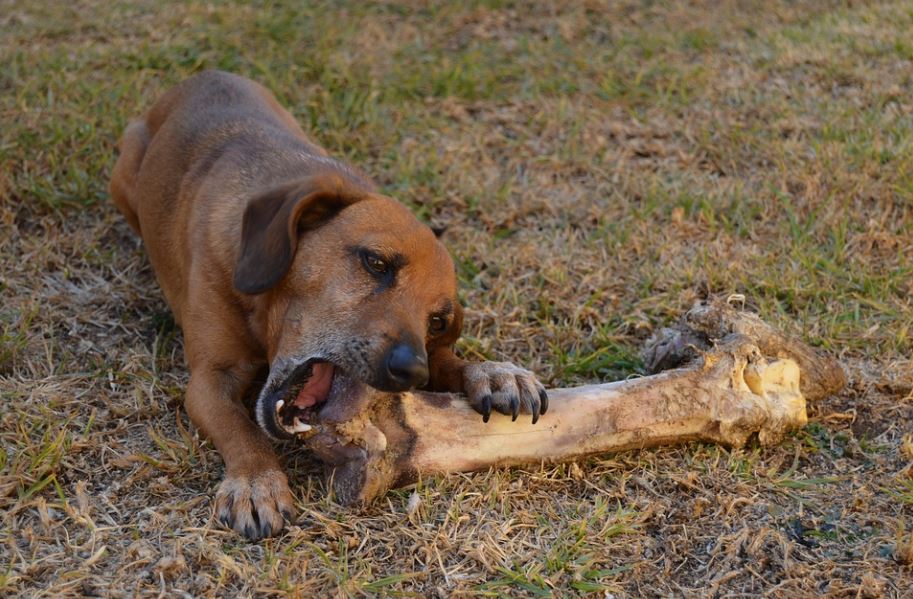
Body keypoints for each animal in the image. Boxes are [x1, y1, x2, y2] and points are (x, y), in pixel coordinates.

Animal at [108, 72, 548, 540]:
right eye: (376, 263)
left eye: (436, 321)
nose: (413, 372)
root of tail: (201, 77)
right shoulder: (209, 380)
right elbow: (241, 429)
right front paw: (257, 481)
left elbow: (451, 362)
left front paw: (493, 373)